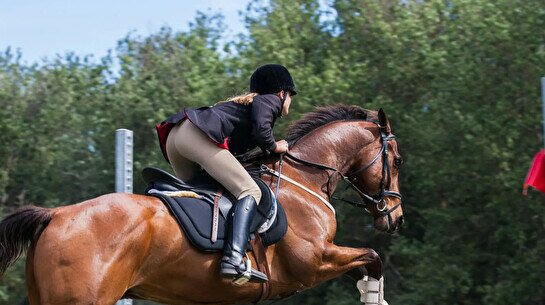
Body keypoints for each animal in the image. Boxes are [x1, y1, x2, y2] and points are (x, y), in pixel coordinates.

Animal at [0, 104, 400, 304]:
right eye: (396, 162)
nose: (393, 218)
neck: (303, 178)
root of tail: (55, 215)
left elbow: (366, 262)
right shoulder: (313, 261)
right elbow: (372, 257)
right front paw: (374, 297)